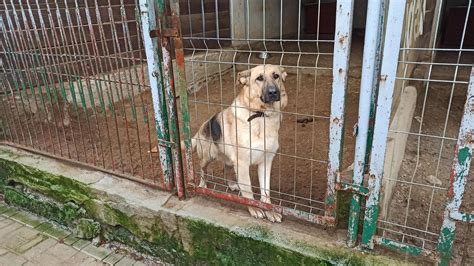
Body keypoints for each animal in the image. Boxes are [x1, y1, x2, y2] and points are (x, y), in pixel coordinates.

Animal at [190, 65, 286, 222]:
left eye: (276, 76)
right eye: (259, 78)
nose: (273, 92)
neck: (261, 116)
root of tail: (201, 128)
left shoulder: (266, 162)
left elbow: (265, 191)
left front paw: (270, 210)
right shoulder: (242, 163)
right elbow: (247, 190)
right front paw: (254, 208)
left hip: (229, 159)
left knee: (226, 169)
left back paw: (232, 184)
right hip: (207, 157)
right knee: (202, 170)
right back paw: (202, 185)